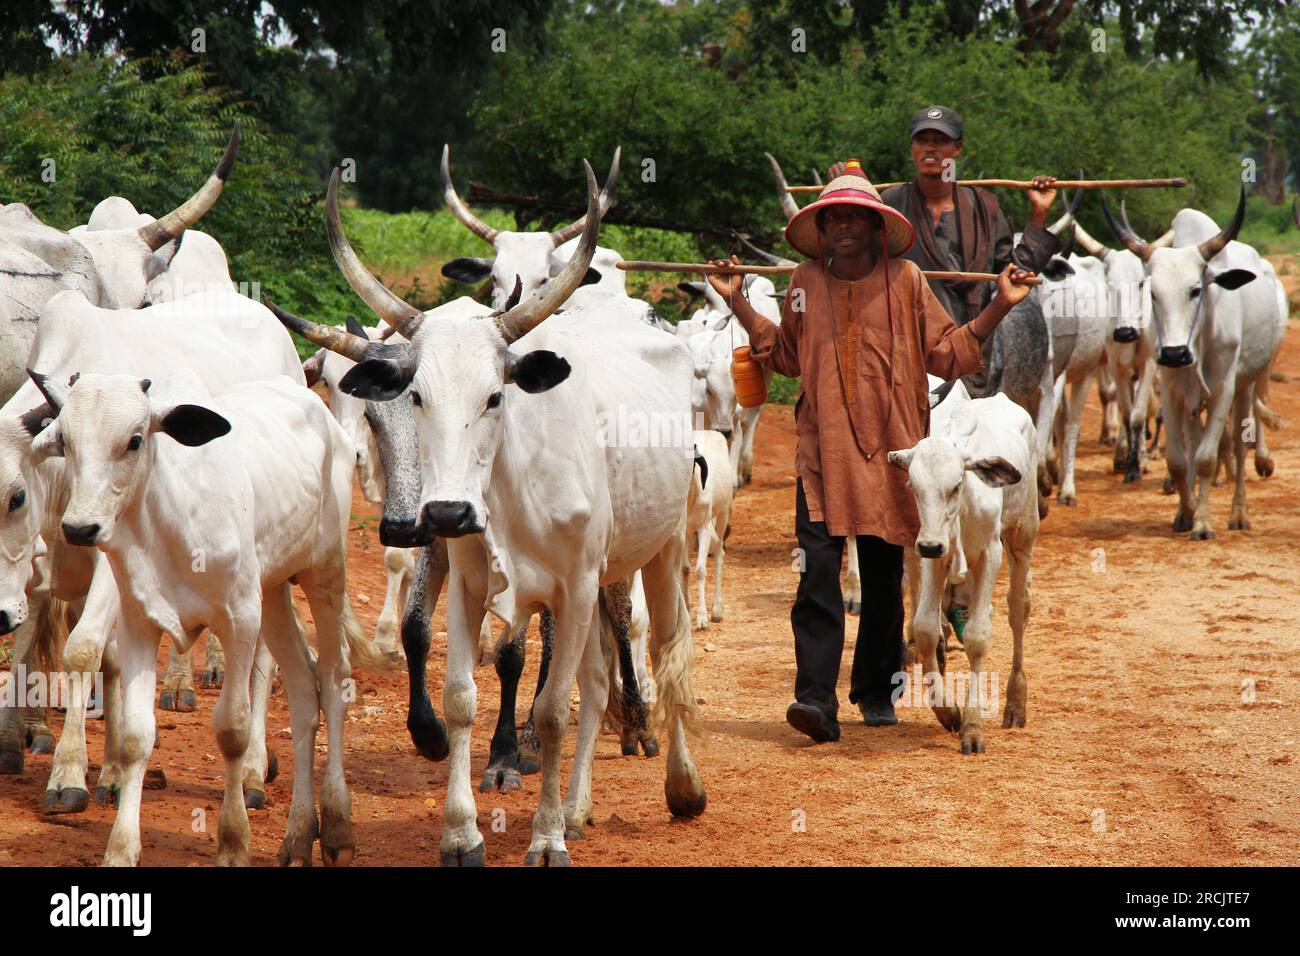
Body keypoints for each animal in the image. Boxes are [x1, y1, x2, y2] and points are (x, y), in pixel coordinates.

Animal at [26, 374, 379, 868]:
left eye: (135, 440)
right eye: (66, 441)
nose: (79, 528)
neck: (170, 521)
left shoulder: (239, 621)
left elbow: (232, 730)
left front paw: (233, 844)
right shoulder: (137, 624)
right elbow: (135, 737)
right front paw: (121, 848)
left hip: (324, 572)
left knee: (332, 680)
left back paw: (337, 829)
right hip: (272, 590)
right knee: (302, 687)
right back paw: (296, 838)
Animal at [282, 164, 712, 868]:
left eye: (494, 396)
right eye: (415, 397)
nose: (446, 511)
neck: (511, 487)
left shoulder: (572, 587)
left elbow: (551, 708)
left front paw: (543, 835)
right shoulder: (471, 580)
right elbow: (461, 695)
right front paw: (463, 832)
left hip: (663, 548)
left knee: (666, 651)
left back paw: (679, 781)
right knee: (597, 679)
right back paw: (579, 806)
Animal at [686, 429, 738, 632]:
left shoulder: (704, 527)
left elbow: (700, 570)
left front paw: (702, 618)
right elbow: (684, 569)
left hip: (723, 512)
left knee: (719, 553)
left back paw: (716, 610)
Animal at [883, 390, 1034, 754]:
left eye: (955, 485)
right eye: (913, 486)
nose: (930, 545)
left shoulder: (990, 554)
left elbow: (978, 637)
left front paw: (973, 728)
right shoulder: (932, 556)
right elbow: (925, 628)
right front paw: (947, 711)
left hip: (1022, 536)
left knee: (1018, 610)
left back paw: (1015, 703)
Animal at [1102, 188, 1284, 538]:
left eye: (1196, 289)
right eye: (1152, 293)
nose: (1175, 354)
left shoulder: (1222, 390)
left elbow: (1205, 459)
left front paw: (1202, 523)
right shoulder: (1171, 388)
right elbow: (1177, 458)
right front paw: (1185, 513)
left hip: (1246, 384)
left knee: (1239, 445)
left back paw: (1239, 513)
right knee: (1192, 441)